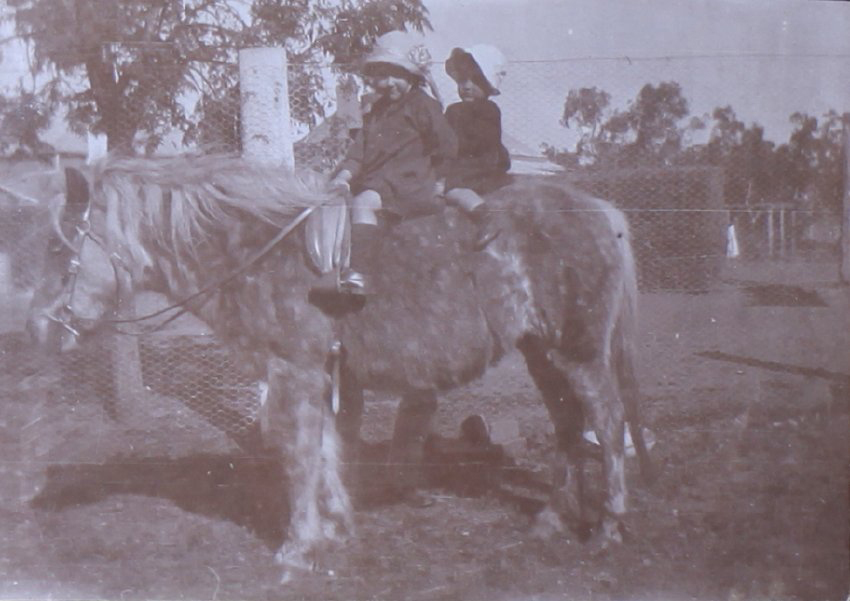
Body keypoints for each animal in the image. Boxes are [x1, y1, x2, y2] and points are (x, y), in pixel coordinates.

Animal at [26, 155, 654, 579]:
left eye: (60, 248)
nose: (40, 330)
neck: (259, 254)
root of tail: (602, 212)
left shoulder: (293, 371)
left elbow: (299, 452)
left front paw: (297, 547)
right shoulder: (318, 375)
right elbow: (327, 448)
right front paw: (336, 529)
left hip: (577, 352)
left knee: (606, 419)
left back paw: (607, 527)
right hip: (540, 353)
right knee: (569, 425)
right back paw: (552, 519)